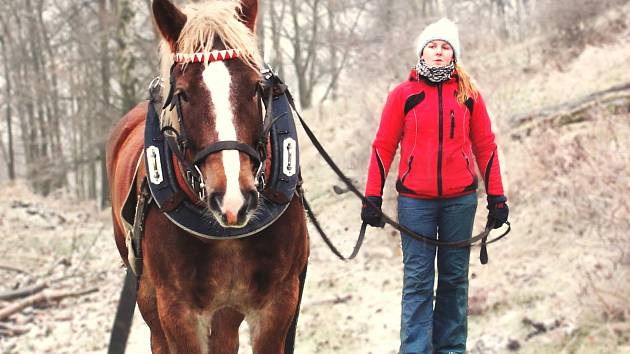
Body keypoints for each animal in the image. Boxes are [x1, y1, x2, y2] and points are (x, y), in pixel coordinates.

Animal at [106, 1, 312, 352]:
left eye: (256, 87)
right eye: (183, 94)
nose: (233, 200)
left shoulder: (280, 302)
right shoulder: (178, 312)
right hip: (148, 298)